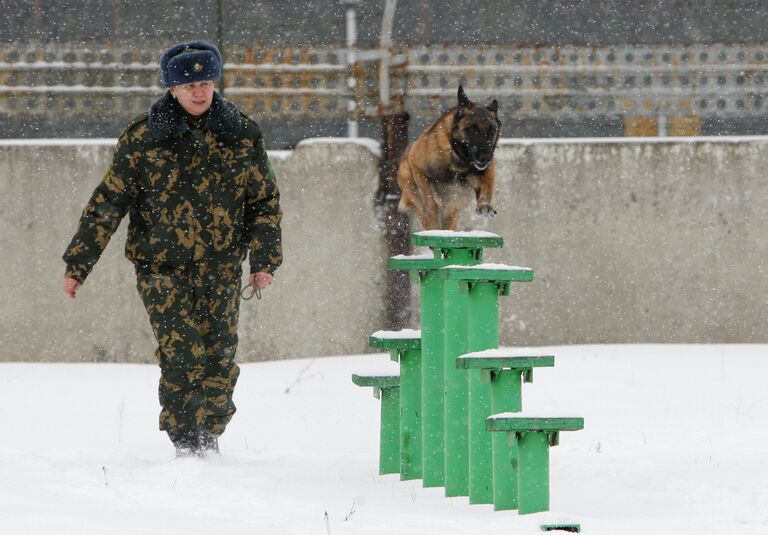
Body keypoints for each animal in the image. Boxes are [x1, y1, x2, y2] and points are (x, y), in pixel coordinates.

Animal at [400, 84, 500, 230]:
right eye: (473, 129)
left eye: (491, 131)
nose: (486, 158)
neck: (459, 159)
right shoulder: (417, 166)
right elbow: (430, 202)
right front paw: (433, 215)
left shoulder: (487, 171)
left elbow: (487, 187)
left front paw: (484, 205)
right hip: (411, 187)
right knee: (424, 212)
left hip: (452, 211)